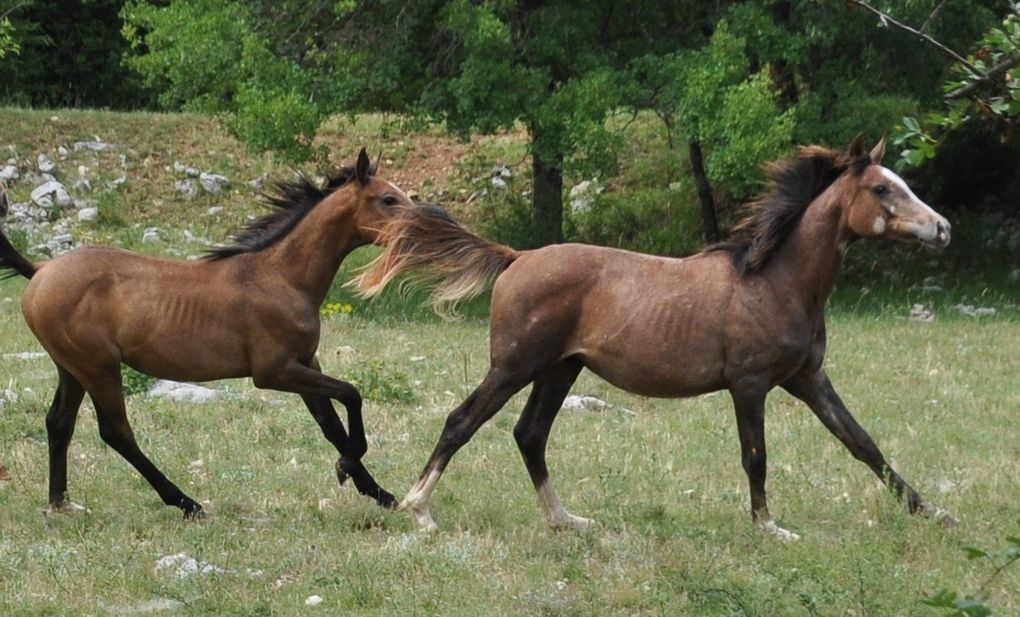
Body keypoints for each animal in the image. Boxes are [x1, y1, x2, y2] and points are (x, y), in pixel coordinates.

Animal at [1, 147, 414, 513]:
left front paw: (379, 492)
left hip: (71, 367)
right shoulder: (274, 371)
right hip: (98, 366)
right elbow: (351, 394)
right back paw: (186, 503)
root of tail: (40, 270)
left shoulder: (306, 363)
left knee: (59, 423)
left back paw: (60, 502)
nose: (421, 225)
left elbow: (331, 425)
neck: (283, 276)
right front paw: (349, 469)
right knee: (116, 431)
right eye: (388, 199)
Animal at [357, 135, 954, 538]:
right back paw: (418, 508)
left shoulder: (808, 378)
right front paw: (769, 527)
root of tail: (516, 257)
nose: (943, 228)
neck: (775, 281)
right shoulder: (751, 384)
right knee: (463, 421)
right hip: (514, 367)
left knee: (530, 434)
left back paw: (566, 519)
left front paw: (934, 512)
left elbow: (863, 443)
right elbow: (756, 455)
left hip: (560, 369)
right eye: (881, 187)